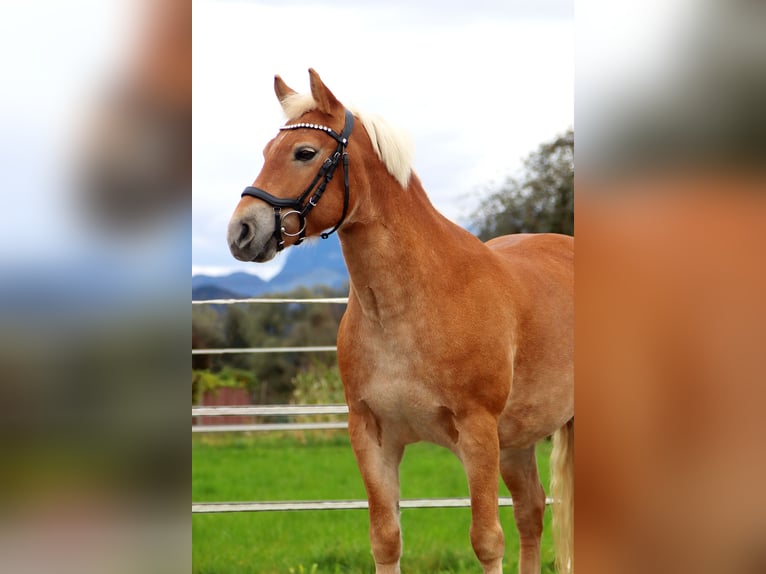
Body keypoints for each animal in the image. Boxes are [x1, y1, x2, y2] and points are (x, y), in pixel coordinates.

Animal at [225, 70, 572, 572]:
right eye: (267, 151)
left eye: (304, 152)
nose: (242, 232)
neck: (408, 308)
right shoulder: (371, 435)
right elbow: (386, 538)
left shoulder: (478, 433)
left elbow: (487, 540)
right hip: (518, 440)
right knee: (531, 512)